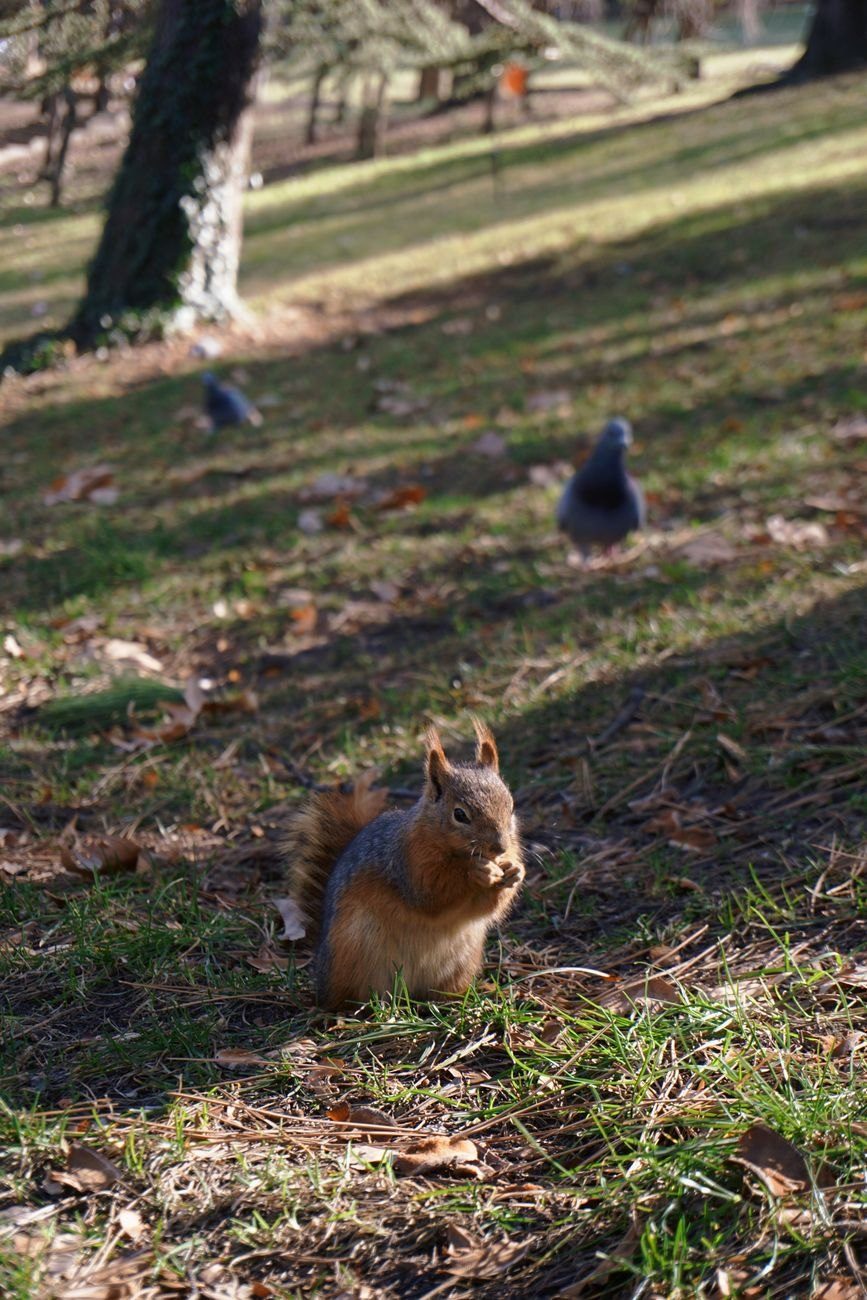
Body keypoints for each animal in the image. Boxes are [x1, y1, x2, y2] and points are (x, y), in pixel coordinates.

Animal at [284, 719, 525, 1010]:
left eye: (511, 807)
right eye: (460, 815)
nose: (500, 847)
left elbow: (486, 908)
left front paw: (515, 872)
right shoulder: (407, 861)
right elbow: (430, 892)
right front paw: (476, 871)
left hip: (462, 963)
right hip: (353, 954)